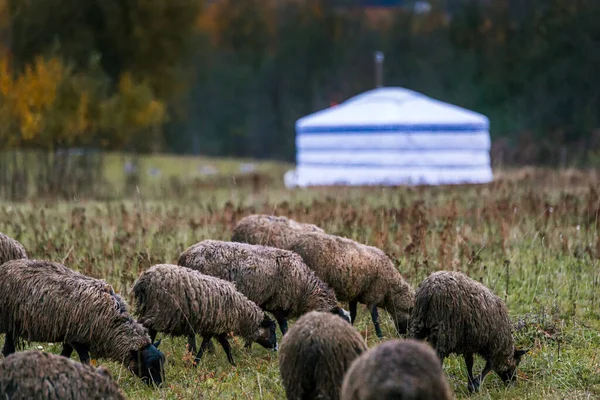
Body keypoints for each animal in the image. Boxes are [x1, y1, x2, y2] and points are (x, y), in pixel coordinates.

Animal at [0, 260, 165, 388]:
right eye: (150, 366)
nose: (159, 387)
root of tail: (6, 265)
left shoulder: (69, 336)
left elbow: (65, 356)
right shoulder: (76, 338)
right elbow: (85, 361)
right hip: (9, 321)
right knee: (8, 349)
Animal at [132, 260, 278, 368]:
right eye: (272, 330)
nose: (276, 348)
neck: (240, 312)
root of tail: (142, 281)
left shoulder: (218, 328)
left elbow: (226, 346)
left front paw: (233, 364)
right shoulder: (213, 325)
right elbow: (205, 347)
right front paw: (195, 364)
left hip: (151, 311)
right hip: (158, 312)